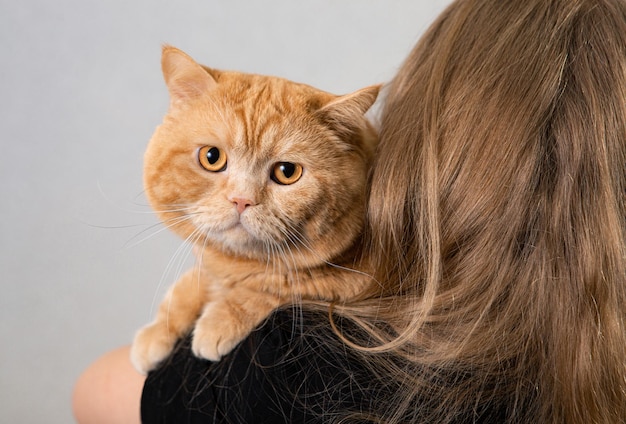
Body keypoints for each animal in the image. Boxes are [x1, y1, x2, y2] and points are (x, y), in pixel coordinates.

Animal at [129, 44, 378, 372]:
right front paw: (162, 326)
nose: (241, 199)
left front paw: (221, 318)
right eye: (212, 156)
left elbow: (277, 285)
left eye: (287, 172)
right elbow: (191, 284)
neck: (236, 264)